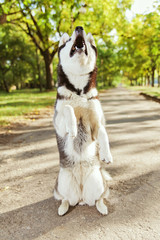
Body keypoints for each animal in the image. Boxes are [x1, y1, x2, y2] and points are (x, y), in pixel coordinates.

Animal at [53, 26, 112, 216]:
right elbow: (67, 108)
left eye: (83, 35)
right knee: (64, 198)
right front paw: (72, 127)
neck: (78, 90)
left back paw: (102, 207)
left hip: (97, 182)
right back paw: (62, 208)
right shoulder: (59, 124)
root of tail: (80, 199)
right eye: (68, 39)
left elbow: (103, 133)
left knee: (99, 198)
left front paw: (107, 154)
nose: (79, 27)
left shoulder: (96, 123)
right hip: (62, 184)